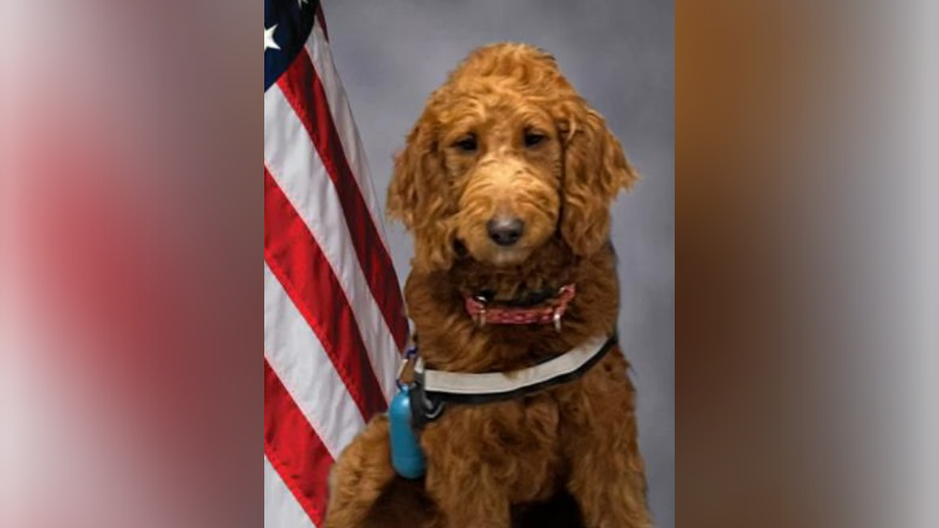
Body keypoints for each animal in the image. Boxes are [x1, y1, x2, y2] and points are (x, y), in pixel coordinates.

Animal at [324, 42, 652, 528]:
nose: (505, 230)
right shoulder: (466, 457)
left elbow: (618, 507)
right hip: (373, 455)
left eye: (534, 138)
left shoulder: (603, 426)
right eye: (466, 144)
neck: (517, 308)